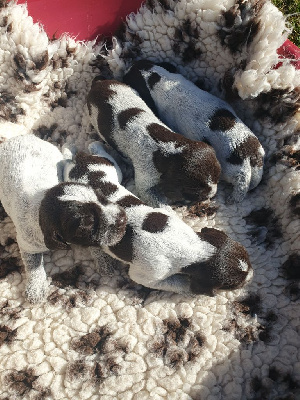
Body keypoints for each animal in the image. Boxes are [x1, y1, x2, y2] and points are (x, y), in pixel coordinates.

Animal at [0, 134, 126, 304]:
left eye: (101, 197)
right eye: (88, 224)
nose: (123, 219)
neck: (40, 203)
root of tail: (20, 137)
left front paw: (104, 260)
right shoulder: (27, 243)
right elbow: (33, 265)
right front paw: (35, 289)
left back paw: (70, 147)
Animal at [65, 141, 253, 296]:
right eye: (232, 285)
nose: (252, 276)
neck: (195, 247)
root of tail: (80, 164)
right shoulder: (147, 275)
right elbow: (175, 283)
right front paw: (187, 287)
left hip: (110, 169)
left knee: (97, 154)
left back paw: (91, 148)